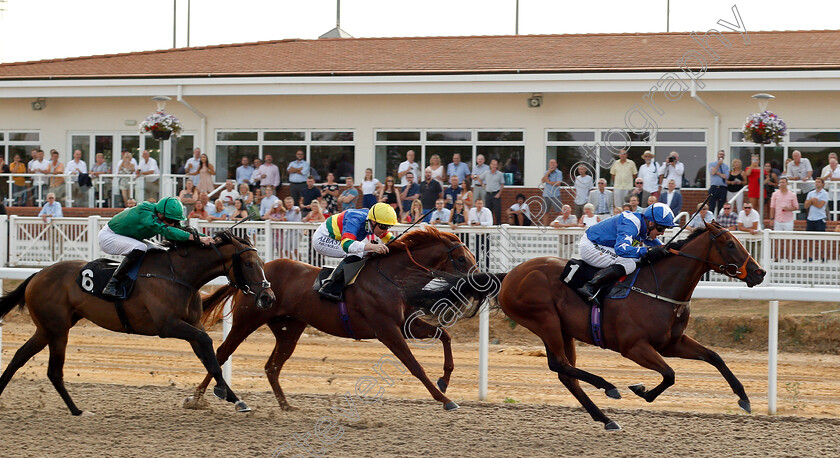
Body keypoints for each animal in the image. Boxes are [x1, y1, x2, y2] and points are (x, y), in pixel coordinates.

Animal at [0, 233, 274, 416]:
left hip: (47, 329)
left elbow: (209, 356)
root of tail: (37, 275)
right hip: (57, 330)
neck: (178, 275)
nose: (268, 297)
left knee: (19, 357)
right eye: (248, 264)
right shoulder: (168, 326)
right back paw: (78, 411)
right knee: (54, 371)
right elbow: (208, 344)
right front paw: (223, 393)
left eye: (262, 264)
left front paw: (234, 398)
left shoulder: (192, 325)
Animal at [190, 227, 492, 410]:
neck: (393, 277)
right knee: (221, 353)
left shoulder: (407, 325)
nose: (481, 280)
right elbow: (415, 366)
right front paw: (444, 399)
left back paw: (286, 405)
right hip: (247, 321)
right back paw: (199, 399)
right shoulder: (387, 330)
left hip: (289, 328)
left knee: (272, 367)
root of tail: (257, 277)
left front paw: (445, 380)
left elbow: (445, 336)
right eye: (462, 260)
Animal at [498, 221, 768, 430]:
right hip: (546, 321)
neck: (660, 288)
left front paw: (744, 399)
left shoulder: (672, 343)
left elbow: (714, 357)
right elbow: (669, 374)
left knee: (566, 374)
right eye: (730, 244)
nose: (760, 272)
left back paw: (606, 419)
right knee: (559, 364)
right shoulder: (633, 347)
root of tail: (509, 276)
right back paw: (608, 386)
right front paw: (641, 390)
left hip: (565, 331)